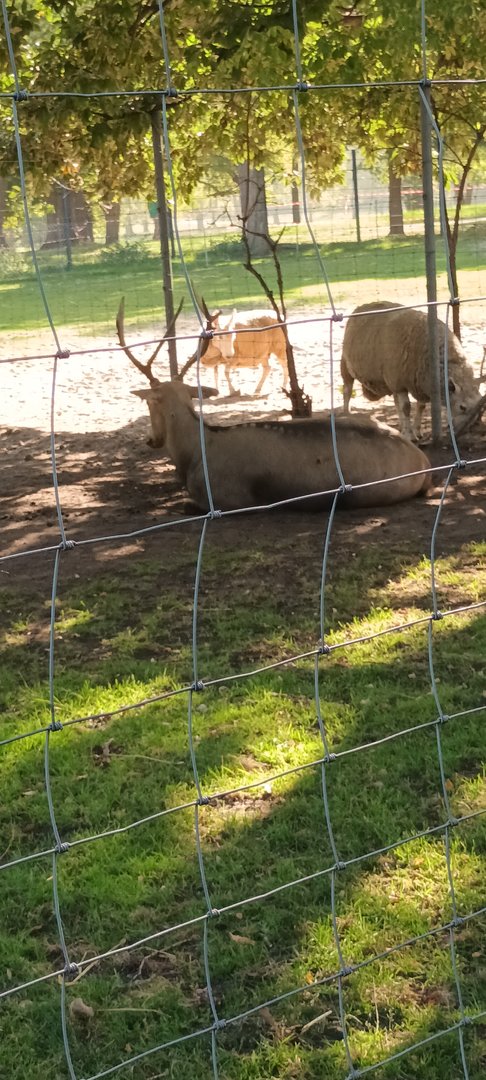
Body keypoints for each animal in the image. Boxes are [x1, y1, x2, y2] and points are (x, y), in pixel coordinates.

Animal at [341, 301, 482, 440]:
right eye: (462, 407)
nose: (466, 430)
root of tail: (363, 306)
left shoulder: (419, 382)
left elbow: (420, 406)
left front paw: (416, 431)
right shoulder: (400, 383)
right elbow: (406, 408)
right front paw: (410, 435)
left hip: (390, 380)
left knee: (396, 402)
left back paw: (401, 428)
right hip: (346, 366)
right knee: (347, 391)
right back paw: (346, 414)